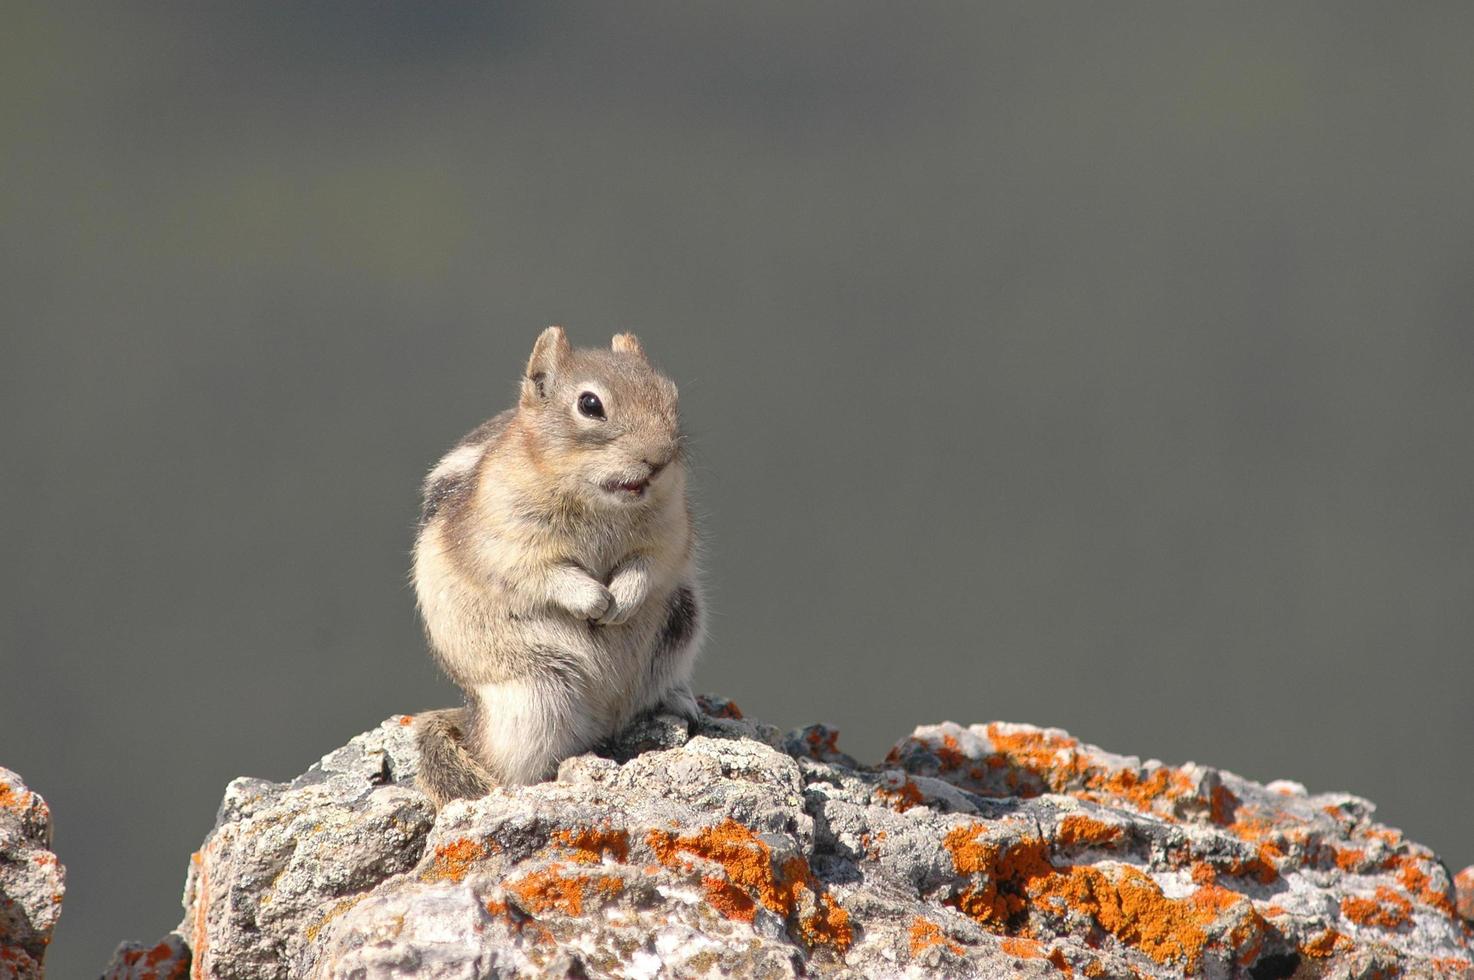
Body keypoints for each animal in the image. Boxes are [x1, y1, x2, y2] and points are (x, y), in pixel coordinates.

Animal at [406, 327, 698, 801]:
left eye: (670, 394)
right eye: (590, 405)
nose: (658, 459)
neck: (598, 502)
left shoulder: (670, 531)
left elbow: (650, 565)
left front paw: (624, 597)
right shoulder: (508, 537)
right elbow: (542, 574)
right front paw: (594, 600)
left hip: (680, 628)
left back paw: (675, 702)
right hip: (533, 703)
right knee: (514, 768)